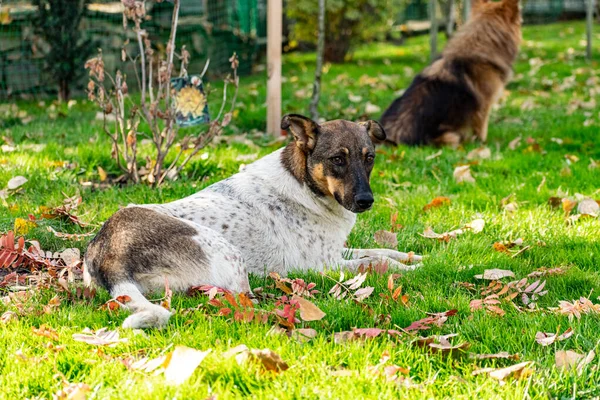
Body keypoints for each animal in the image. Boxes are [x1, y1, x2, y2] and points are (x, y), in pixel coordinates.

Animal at [83, 115, 422, 328]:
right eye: (337, 159)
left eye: (369, 158)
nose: (366, 201)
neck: (305, 185)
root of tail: (106, 252)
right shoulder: (324, 265)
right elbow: (378, 263)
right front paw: (412, 270)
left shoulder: (336, 252)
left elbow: (380, 252)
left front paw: (416, 257)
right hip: (228, 253)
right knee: (243, 299)